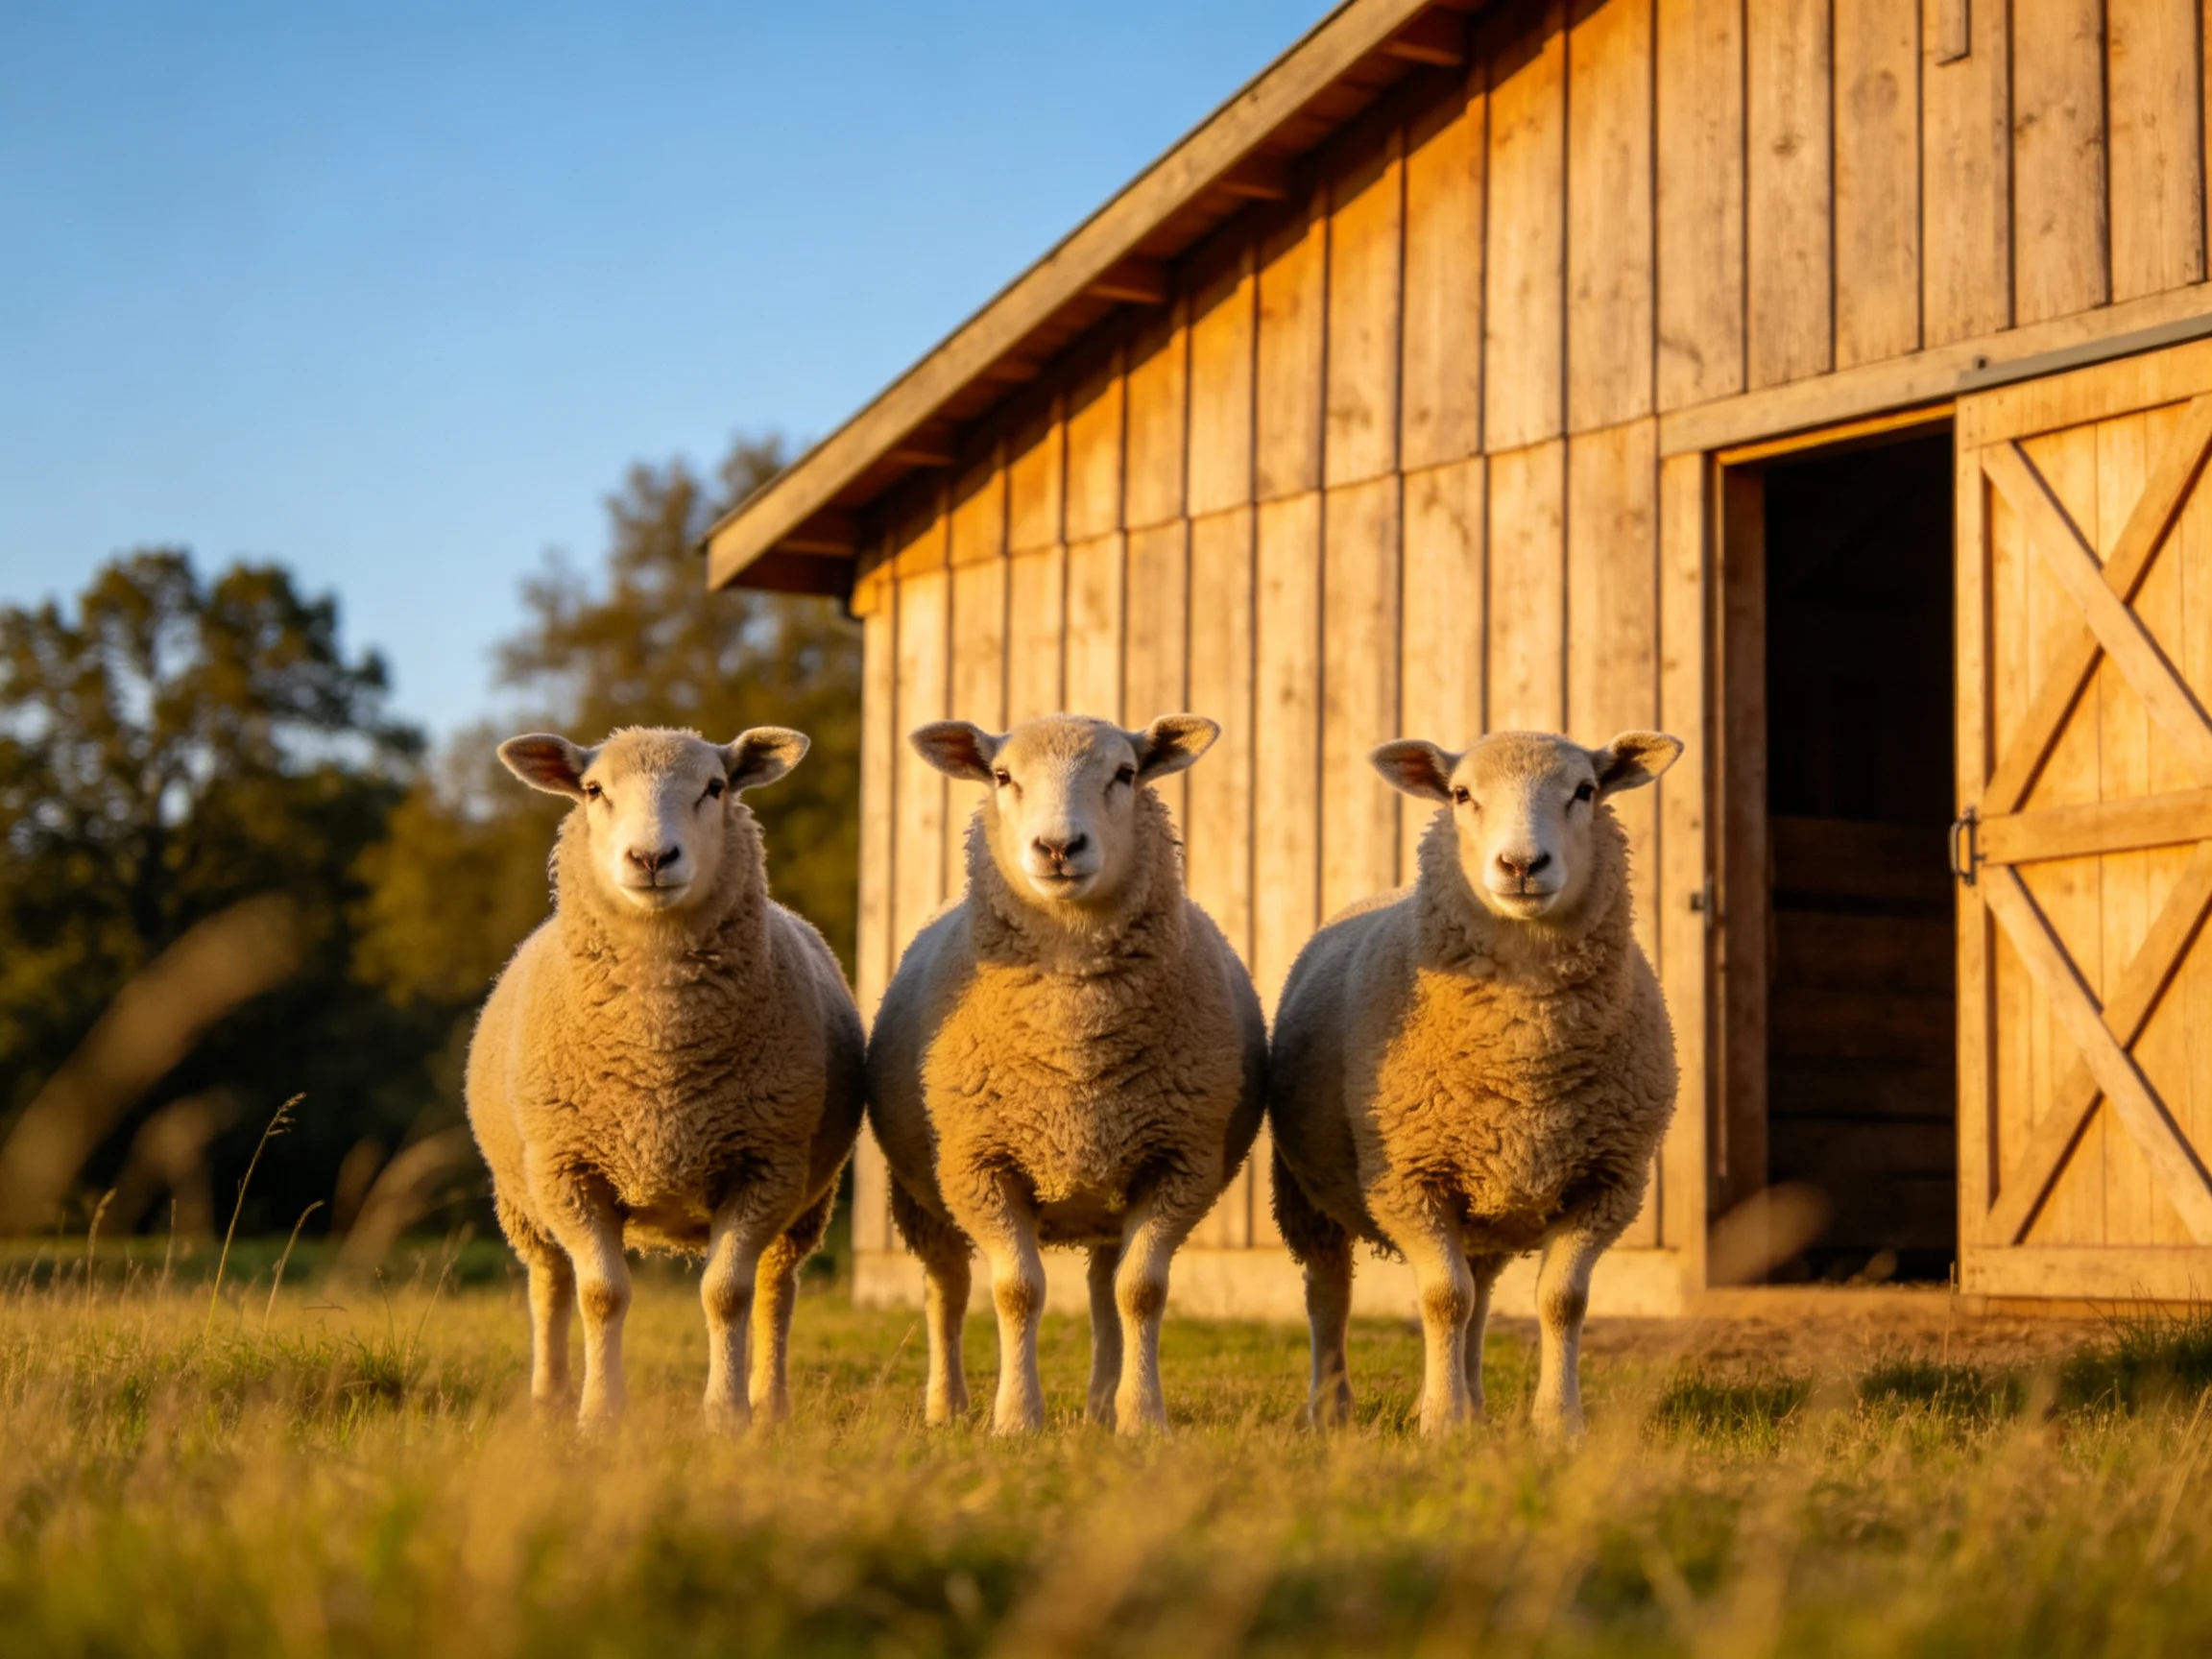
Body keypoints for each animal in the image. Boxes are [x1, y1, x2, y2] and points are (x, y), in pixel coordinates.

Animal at [465, 725, 864, 1432]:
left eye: (716, 786)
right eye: (593, 789)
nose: (652, 857)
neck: (659, 1062)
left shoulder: (763, 1167)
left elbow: (727, 1295)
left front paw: (726, 1415)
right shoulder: (569, 1170)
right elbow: (600, 1294)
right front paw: (600, 1415)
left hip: (806, 1202)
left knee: (775, 1289)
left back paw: (771, 1404)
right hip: (523, 1199)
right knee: (549, 1283)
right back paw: (548, 1399)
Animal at [865, 713, 1267, 1435]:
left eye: (1126, 774)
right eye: (1002, 776)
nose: (1058, 847)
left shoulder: (1179, 1165)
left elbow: (1142, 1292)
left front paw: (1143, 1417)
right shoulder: (978, 1167)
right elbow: (1016, 1291)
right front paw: (1016, 1418)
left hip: (1113, 1186)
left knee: (1106, 1292)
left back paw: (1103, 1406)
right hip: (920, 1196)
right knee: (945, 1290)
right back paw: (947, 1406)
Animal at [1267, 728, 1682, 1440]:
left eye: (1585, 791)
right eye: (1461, 795)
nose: (1521, 864)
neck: (1528, 1061)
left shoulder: (1609, 1182)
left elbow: (1561, 1302)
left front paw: (1558, 1422)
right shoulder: (1409, 1178)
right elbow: (1443, 1298)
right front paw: (1440, 1423)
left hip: (1489, 1209)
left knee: (1481, 1300)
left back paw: (1476, 1404)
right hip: (1304, 1195)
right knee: (1329, 1294)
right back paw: (1330, 1409)